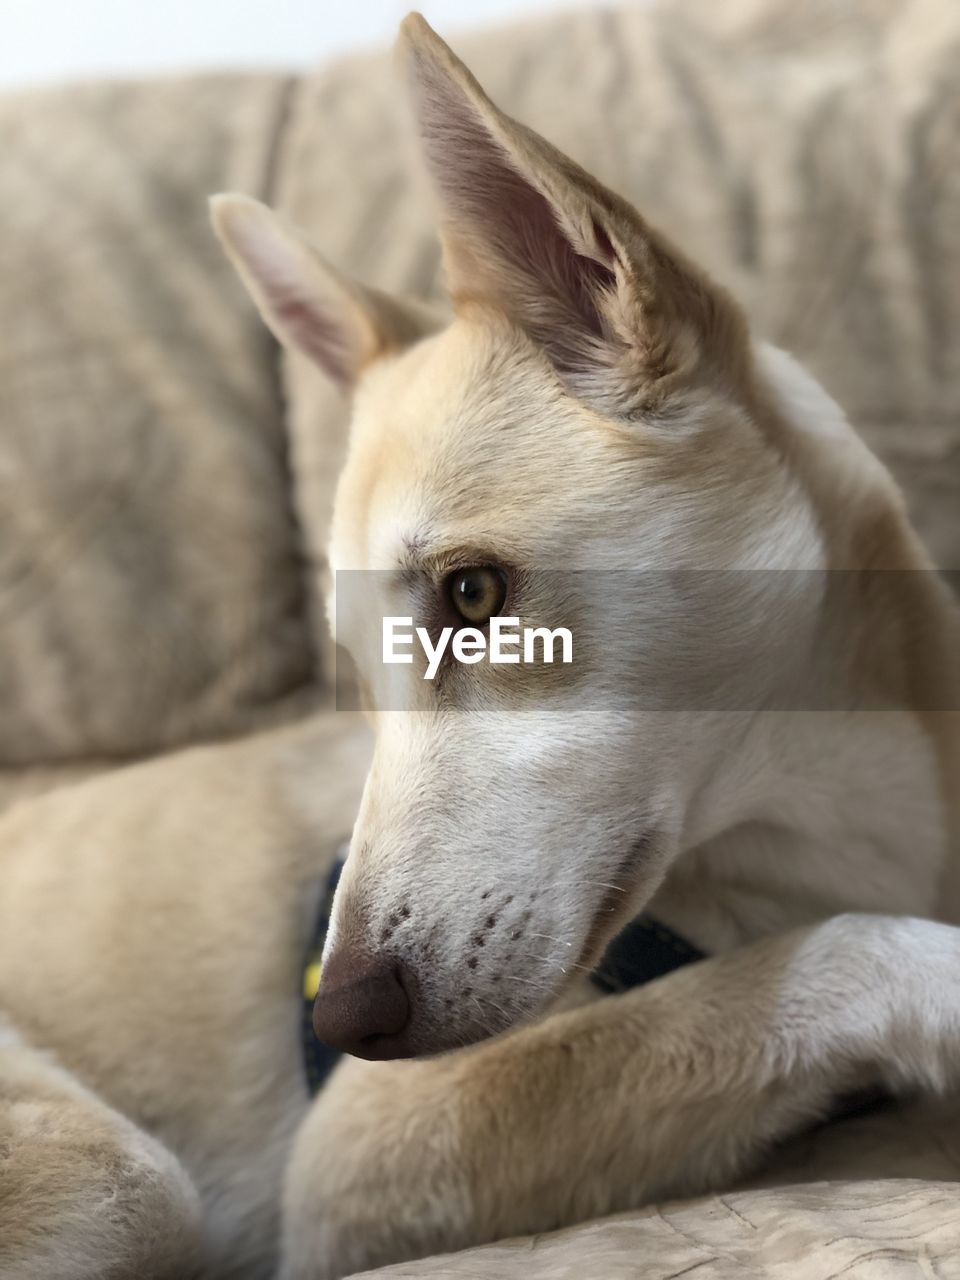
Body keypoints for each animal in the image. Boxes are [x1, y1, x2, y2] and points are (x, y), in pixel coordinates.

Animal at [1, 12, 960, 1280]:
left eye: (471, 590)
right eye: (356, 675)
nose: (339, 1016)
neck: (837, 818)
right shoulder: (358, 1140)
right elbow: (823, 955)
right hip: (113, 1174)